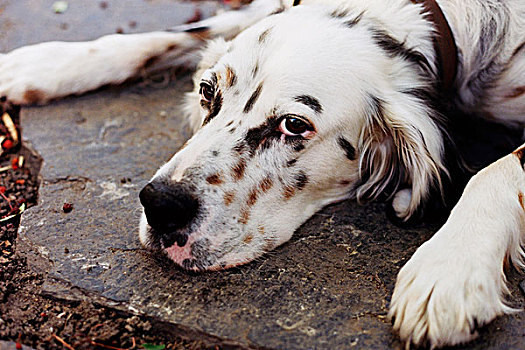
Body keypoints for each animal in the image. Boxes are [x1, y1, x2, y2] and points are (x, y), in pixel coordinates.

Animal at [1, 0, 524, 348]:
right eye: (208, 91)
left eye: (293, 125)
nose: (160, 205)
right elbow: (183, 30)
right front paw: (39, 64)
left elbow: (500, 167)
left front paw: (450, 267)